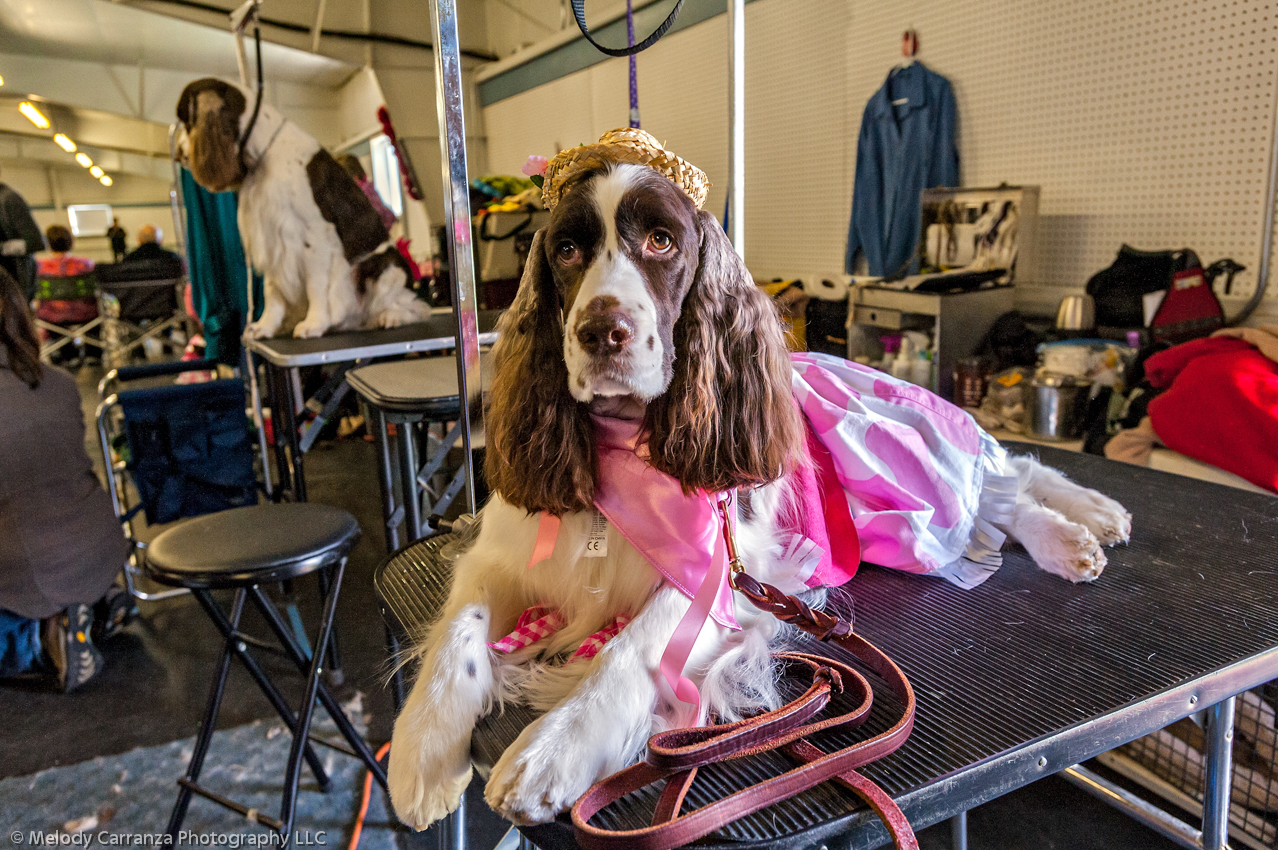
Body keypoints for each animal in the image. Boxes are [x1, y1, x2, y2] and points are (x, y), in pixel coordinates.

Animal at [172, 77, 429, 337]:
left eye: (186, 121)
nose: (177, 154)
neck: (262, 154)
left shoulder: (314, 234)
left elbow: (315, 285)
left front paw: (313, 323)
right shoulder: (269, 235)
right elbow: (272, 289)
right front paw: (264, 326)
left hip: (385, 265)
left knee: (413, 306)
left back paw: (390, 317)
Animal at [385, 132, 1129, 828]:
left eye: (661, 240)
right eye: (567, 250)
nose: (603, 332)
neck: (621, 441)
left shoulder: (718, 573)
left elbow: (627, 648)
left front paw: (552, 749)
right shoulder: (502, 556)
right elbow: (459, 634)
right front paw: (423, 750)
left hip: (913, 486)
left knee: (1008, 479)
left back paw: (1079, 530)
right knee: (1005, 491)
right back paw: (1086, 529)